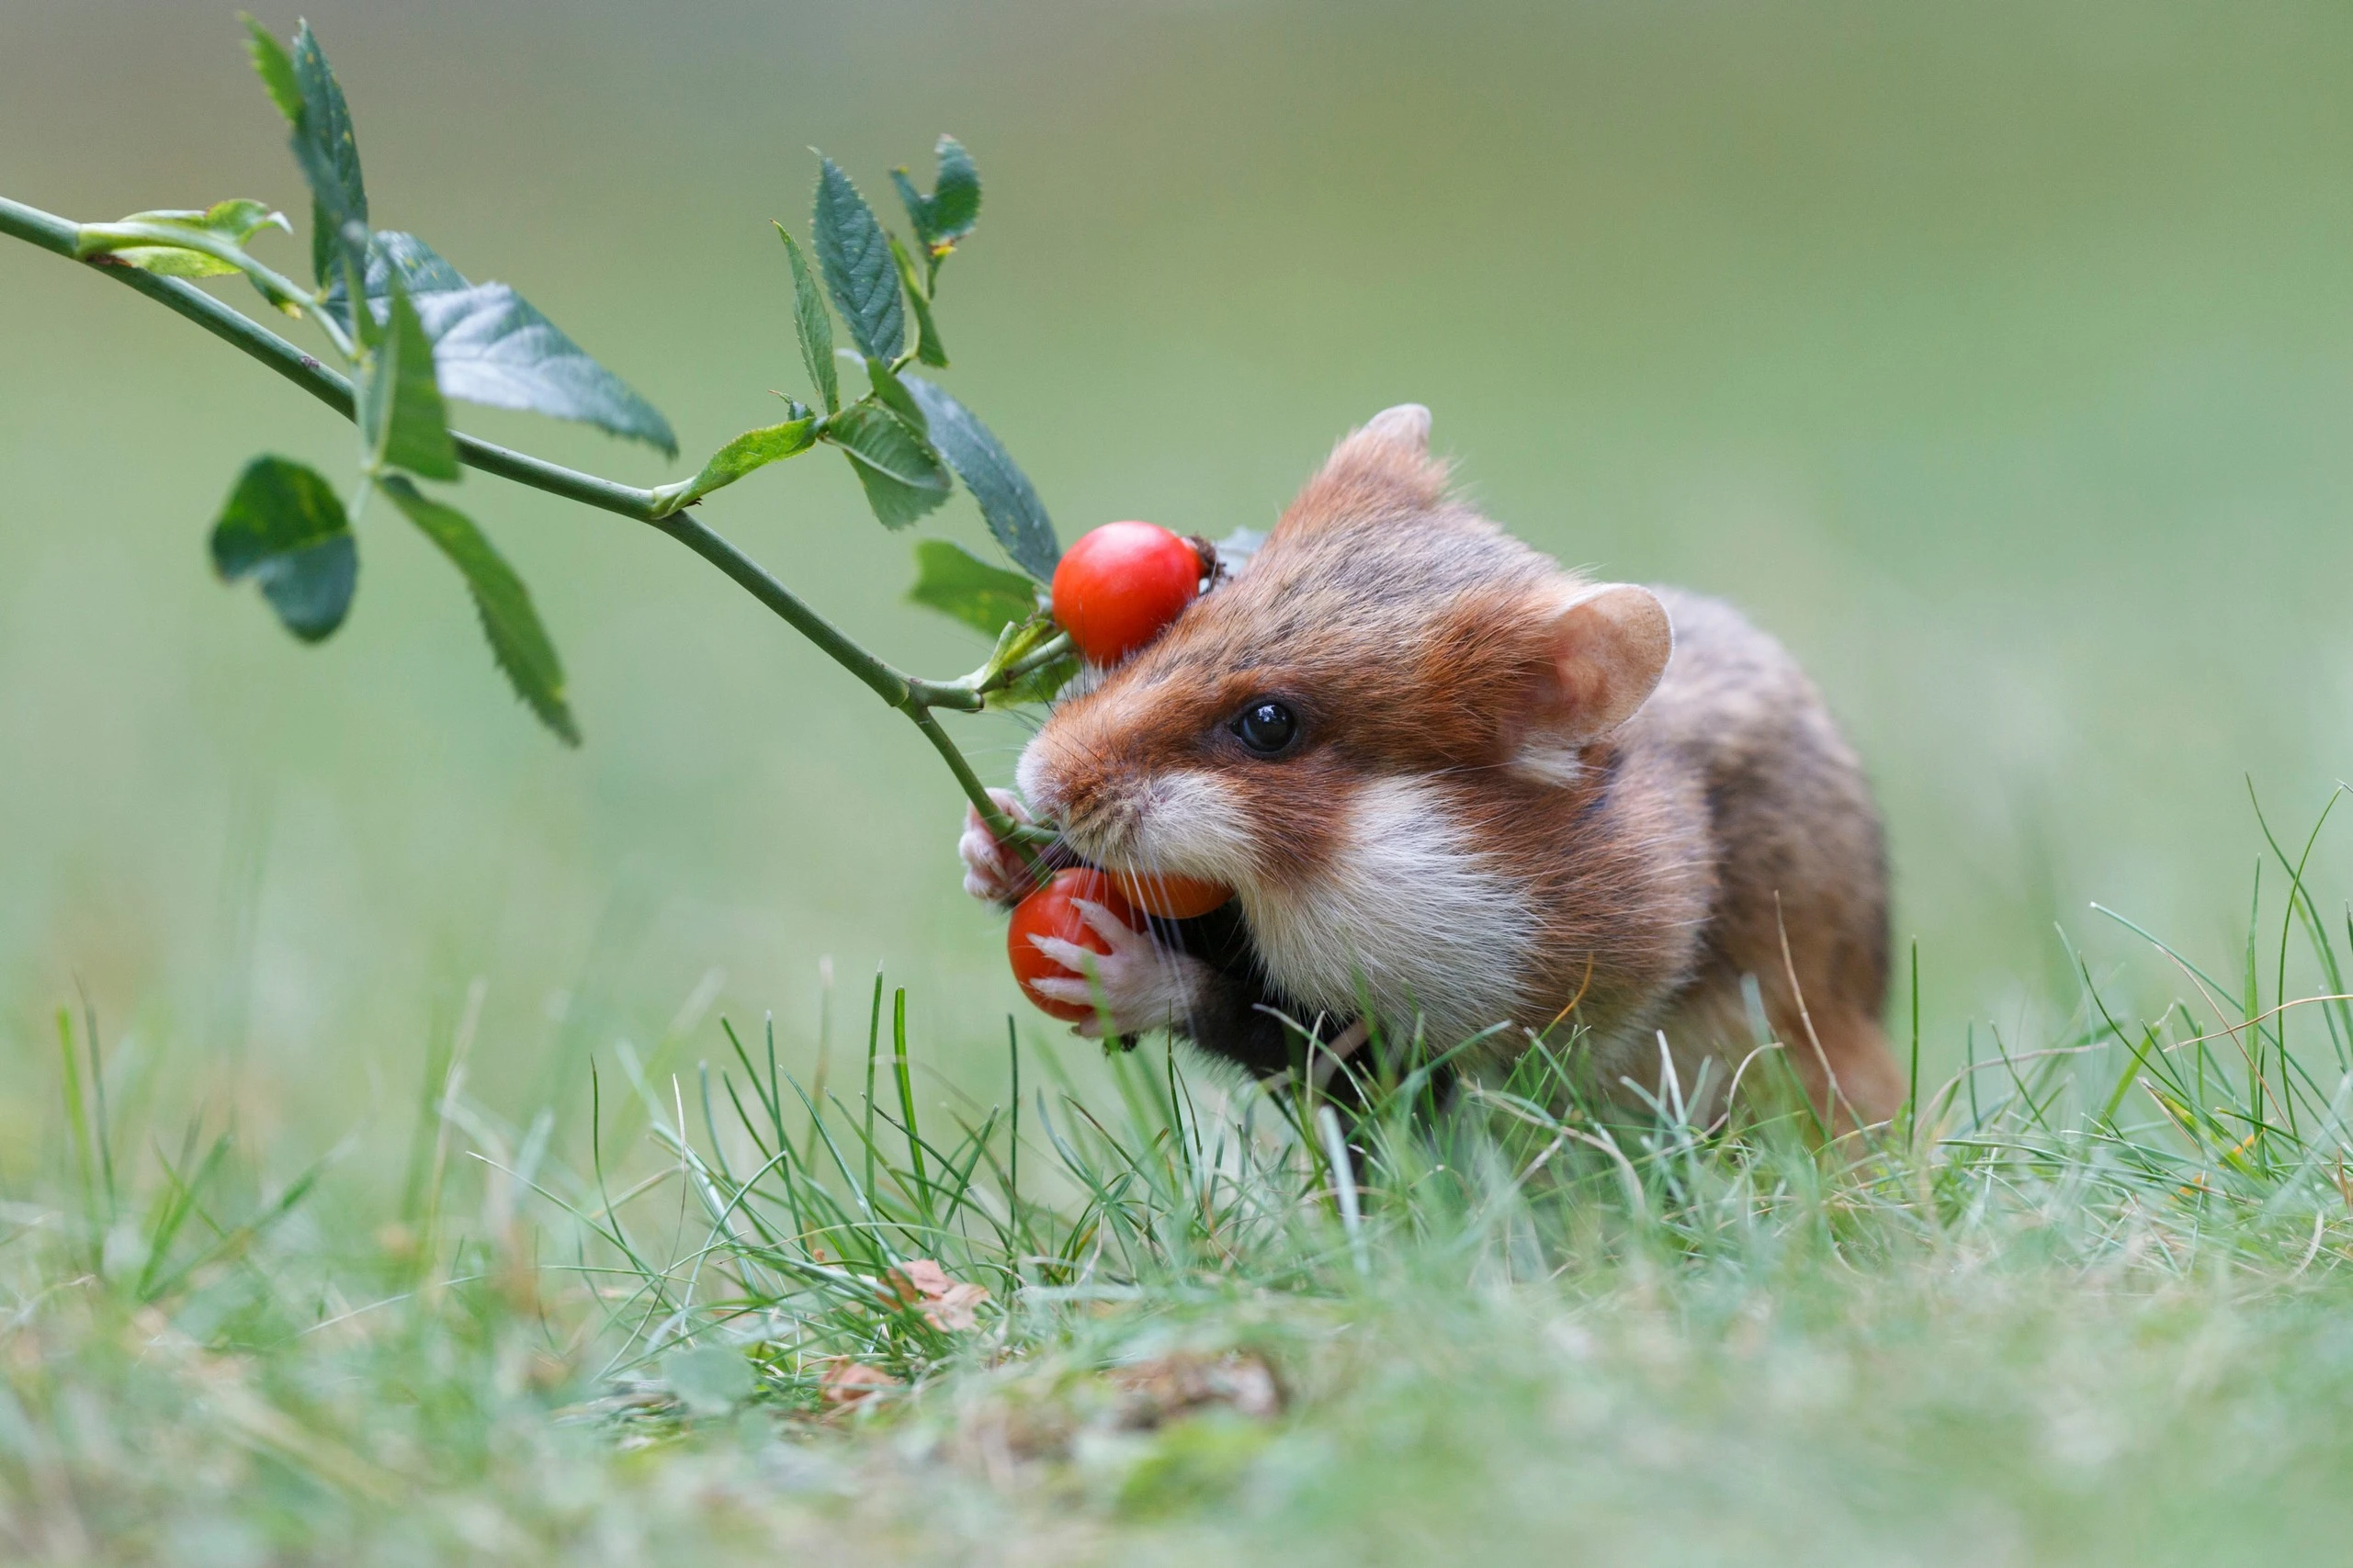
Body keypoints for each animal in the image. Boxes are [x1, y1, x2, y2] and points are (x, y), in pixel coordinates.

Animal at [965, 404, 1901, 1114]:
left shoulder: (1443, 1034)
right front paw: (991, 842)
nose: (1041, 778)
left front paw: (1101, 967)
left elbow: (1255, 1020)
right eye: (1181, 614)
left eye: (1268, 725)